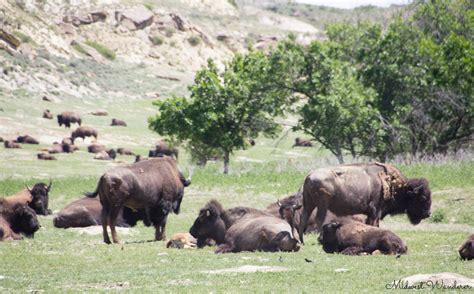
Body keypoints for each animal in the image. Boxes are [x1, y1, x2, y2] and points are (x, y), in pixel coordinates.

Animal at [300, 162, 434, 242]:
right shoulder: (375, 210)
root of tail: (309, 176)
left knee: (304, 218)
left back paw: (301, 241)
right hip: (322, 204)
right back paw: (319, 238)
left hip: (309, 204)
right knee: (319, 219)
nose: (428, 214)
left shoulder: (372, 212)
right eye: (422, 198)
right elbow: (373, 224)